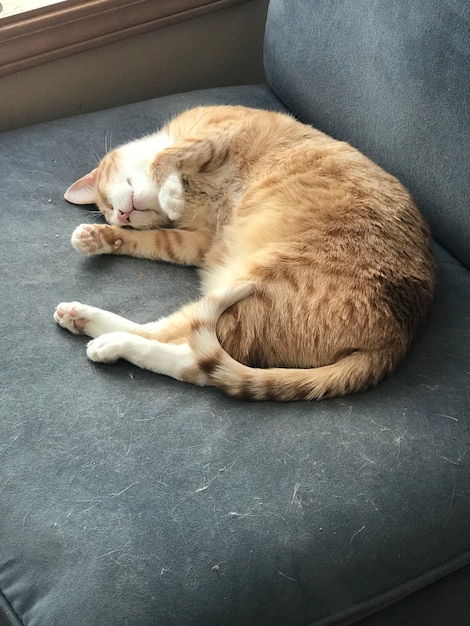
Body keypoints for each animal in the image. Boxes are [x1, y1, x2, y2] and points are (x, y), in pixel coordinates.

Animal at [53, 105, 436, 400]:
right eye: (109, 212)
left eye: (105, 200)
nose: (121, 216)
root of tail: (397, 338)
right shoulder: (197, 242)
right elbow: (154, 241)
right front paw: (97, 237)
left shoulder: (222, 132)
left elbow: (165, 160)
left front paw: (169, 192)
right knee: (186, 349)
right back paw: (82, 318)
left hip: (255, 285)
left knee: (190, 353)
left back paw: (109, 341)